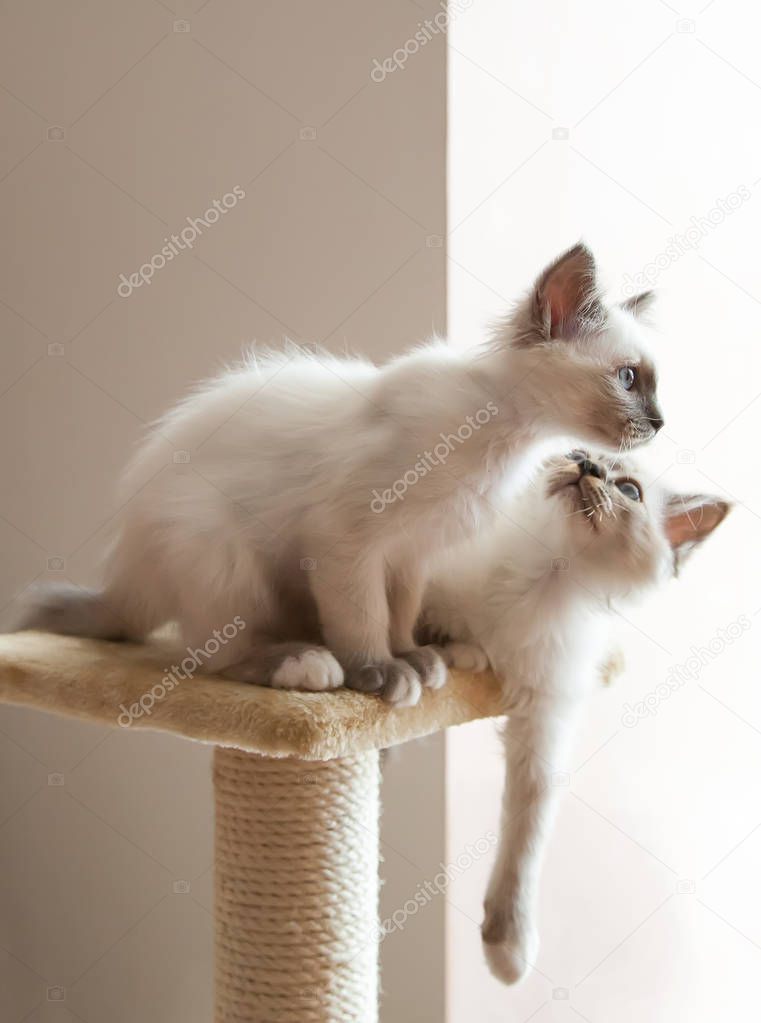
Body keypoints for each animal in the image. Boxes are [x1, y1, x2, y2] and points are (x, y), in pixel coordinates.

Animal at [419, 448, 728, 982]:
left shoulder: (546, 714)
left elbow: (528, 828)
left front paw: (508, 945)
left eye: (628, 491)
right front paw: (458, 653)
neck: (544, 575)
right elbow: (431, 633)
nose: (588, 468)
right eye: (577, 455)